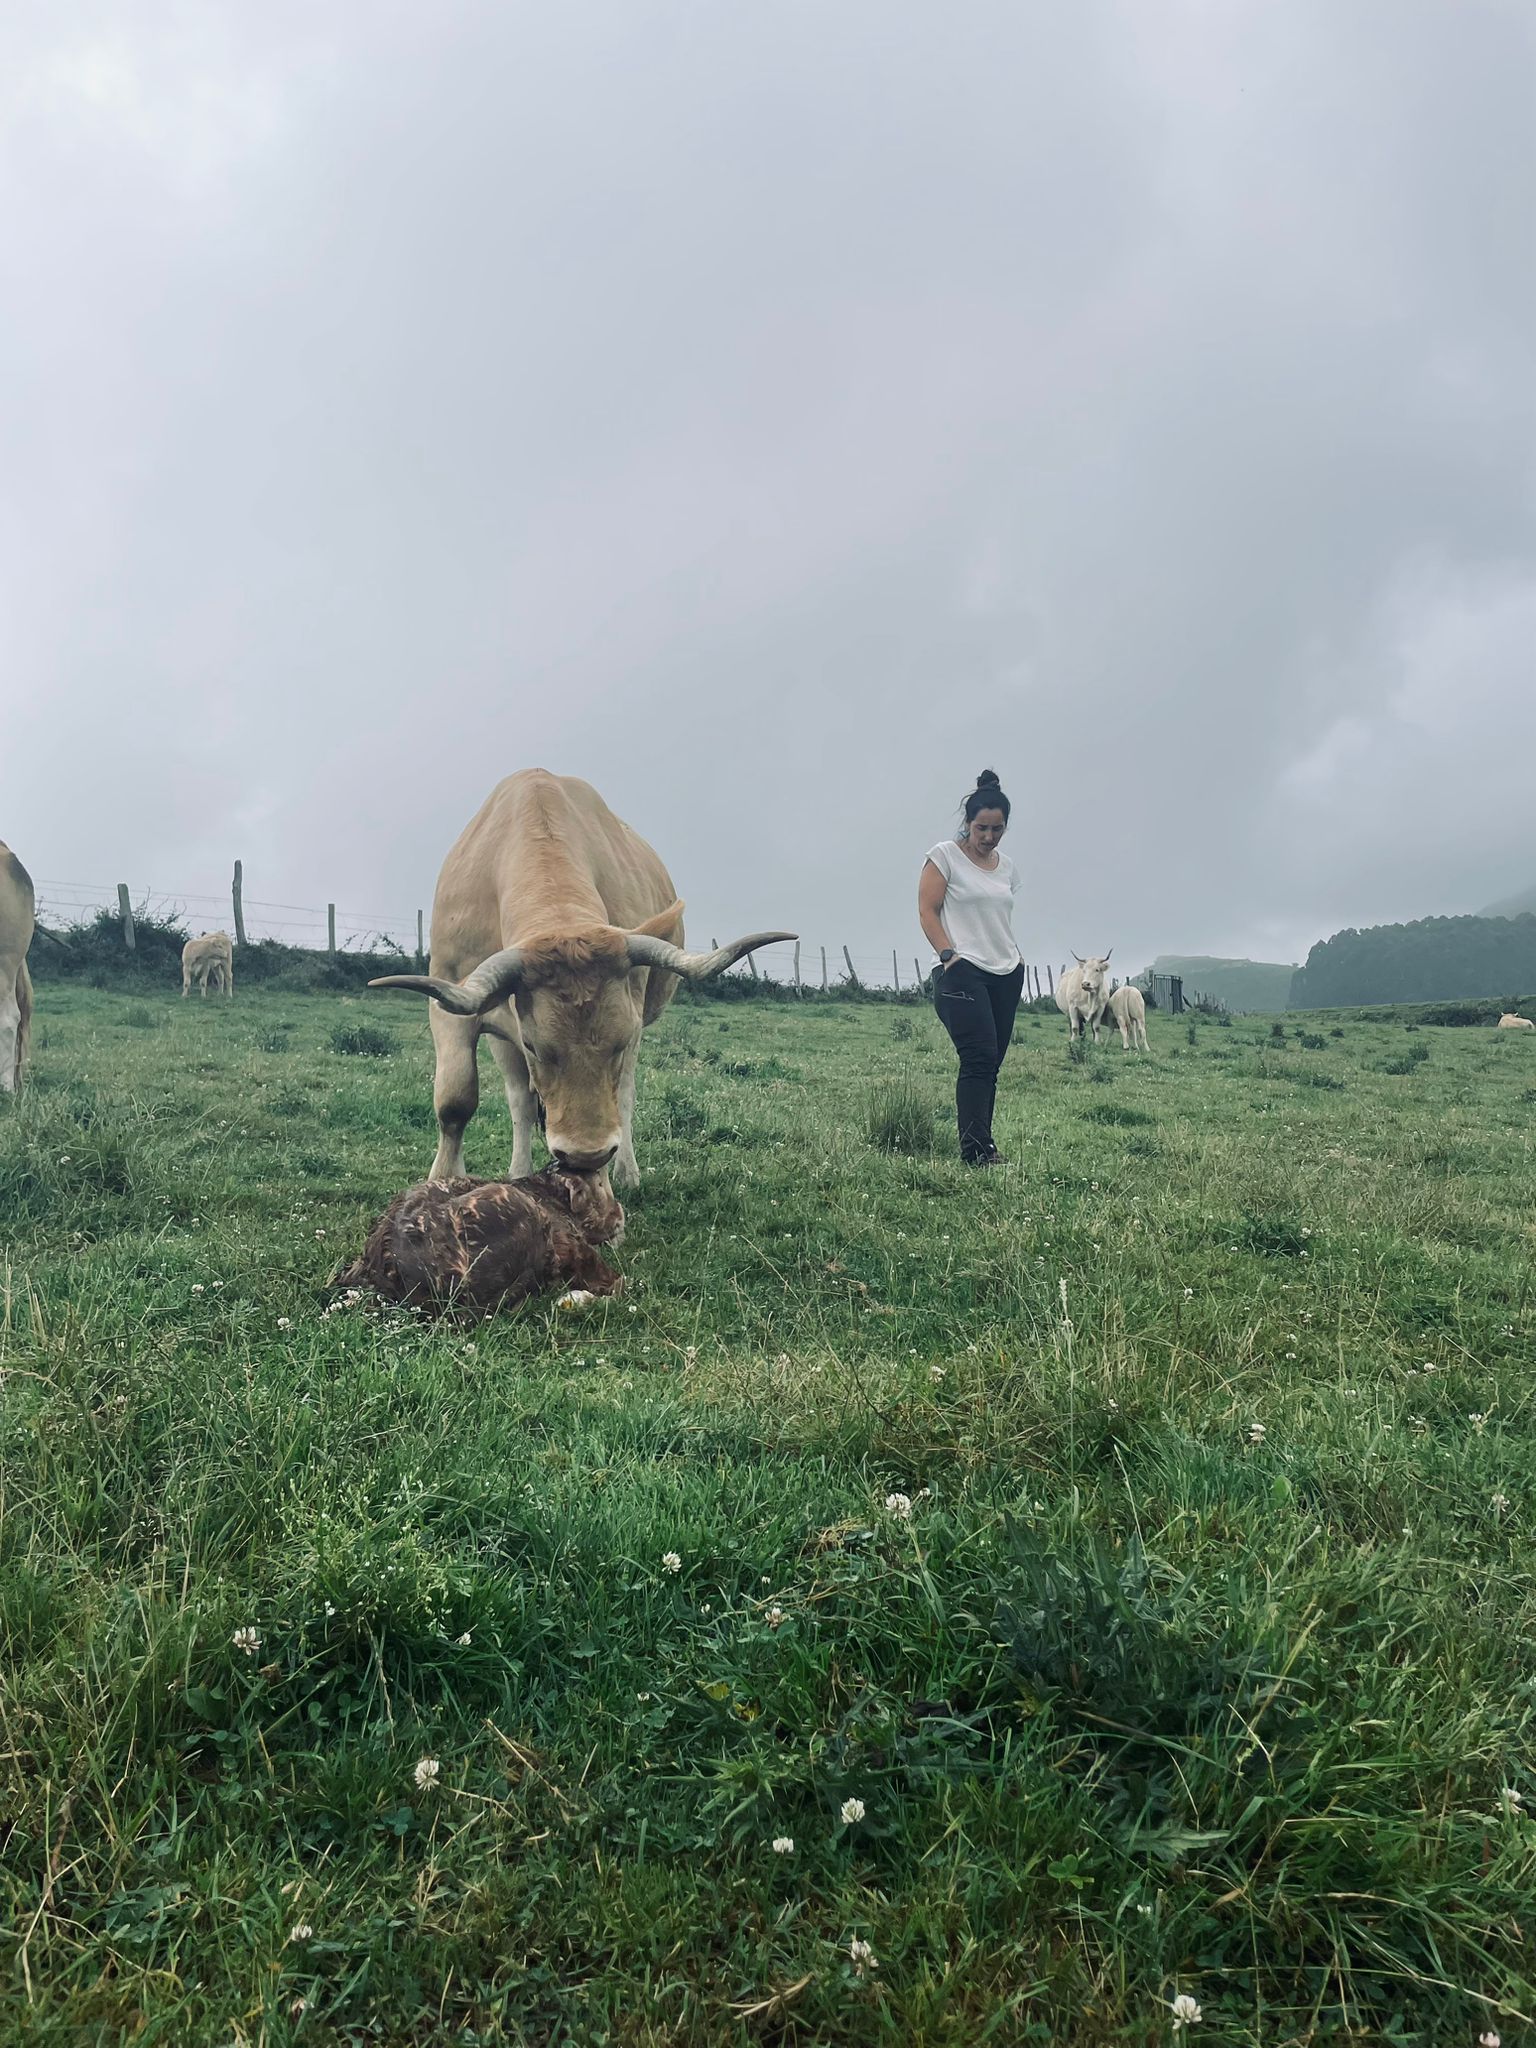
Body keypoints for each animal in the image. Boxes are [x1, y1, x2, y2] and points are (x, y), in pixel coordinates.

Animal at [372, 770, 794, 1187]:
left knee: (622, 1098)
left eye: (619, 1043)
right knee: (520, 1099)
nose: (584, 1154)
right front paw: (444, 1179)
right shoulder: (452, 1002)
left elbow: (616, 1101)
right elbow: (455, 1100)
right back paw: (519, 1170)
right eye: (534, 1045)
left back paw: (626, 1173)